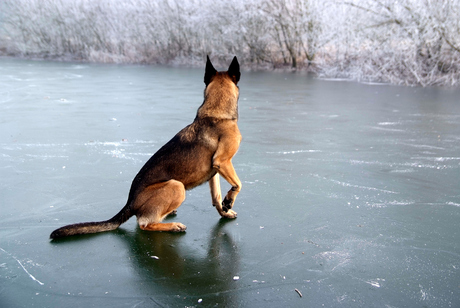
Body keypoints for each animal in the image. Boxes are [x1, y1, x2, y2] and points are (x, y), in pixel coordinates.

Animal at [49, 56, 243, 239]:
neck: (216, 113)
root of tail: (130, 203)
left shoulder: (215, 171)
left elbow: (216, 196)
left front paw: (224, 210)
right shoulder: (223, 162)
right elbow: (238, 184)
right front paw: (230, 199)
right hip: (176, 186)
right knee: (144, 224)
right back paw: (172, 226)